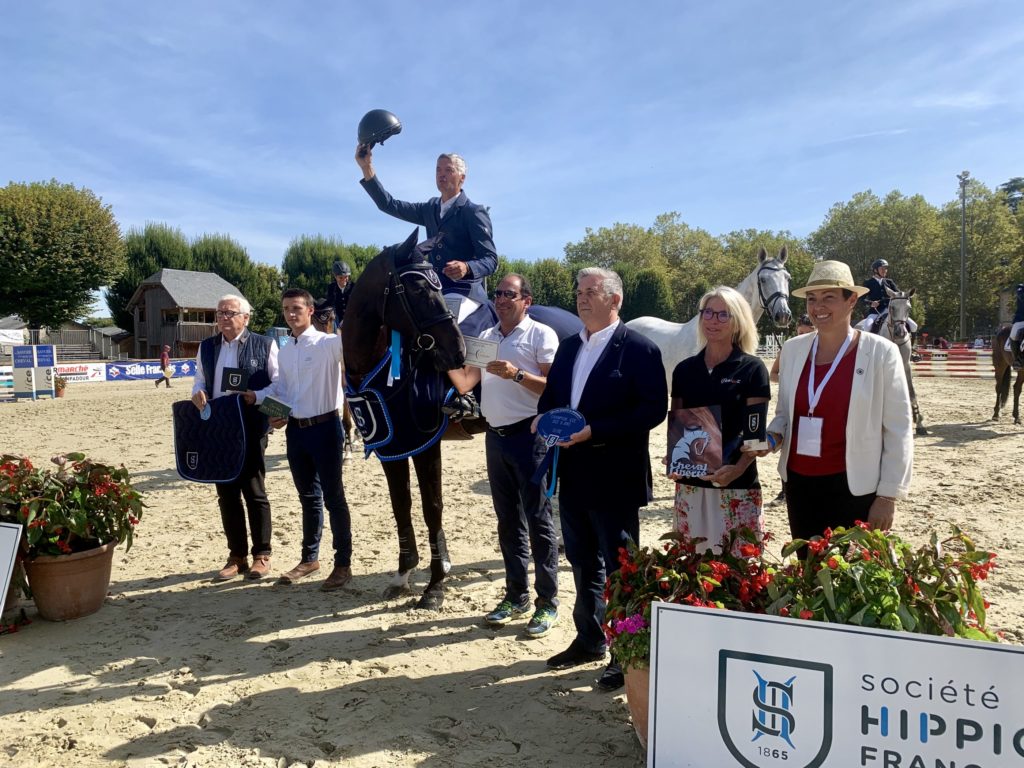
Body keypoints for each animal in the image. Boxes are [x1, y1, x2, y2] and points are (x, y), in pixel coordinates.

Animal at [344, 231, 468, 610]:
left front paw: (436, 585)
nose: (458, 352)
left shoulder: (424, 444)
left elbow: (432, 507)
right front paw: (404, 574)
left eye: (438, 286)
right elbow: (401, 504)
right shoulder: (392, 447)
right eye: (417, 288)